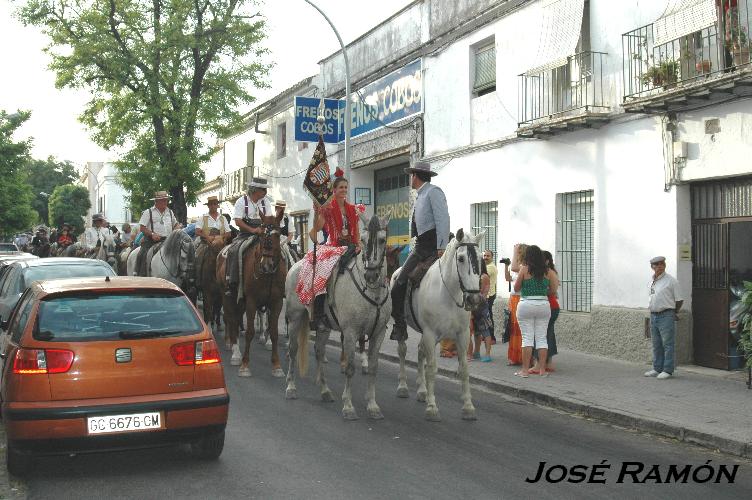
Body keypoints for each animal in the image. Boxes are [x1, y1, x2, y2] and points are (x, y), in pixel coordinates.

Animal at [219, 213, 290, 376]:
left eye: (277, 235)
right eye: (261, 235)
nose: (266, 264)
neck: (268, 275)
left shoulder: (276, 302)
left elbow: (274, 332)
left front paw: (277, 366)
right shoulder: (252, 301)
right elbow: (250, 332)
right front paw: (245, 365)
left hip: (240, 302)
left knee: (236, 318)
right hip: (228, 297)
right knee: (231, 320)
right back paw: (235, 353)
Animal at [284, 213, 394, 420]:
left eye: (382, 240)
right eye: (363, 240)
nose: (371, 275)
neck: (372, 292)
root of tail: (296, 265)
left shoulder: (379, 333)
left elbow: (373, 368)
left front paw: (373, 406)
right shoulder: (351, 332)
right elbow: (350, 368)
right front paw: (349, 407)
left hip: (324, 326)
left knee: (319, 351)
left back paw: (325, 392)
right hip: (295, 318)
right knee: (293, 350)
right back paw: (291, 387)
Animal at [390, 229, 484, 420]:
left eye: (480, 258)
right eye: (461, 258)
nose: (474, 299)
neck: (449, 292)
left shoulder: (462, 335)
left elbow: (464, 369)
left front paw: (468, 407)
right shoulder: (430, 333)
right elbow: (432, 368)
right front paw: (432, 407)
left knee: (420, 352)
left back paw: (422, 391)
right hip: (405, 326)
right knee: (402, 350)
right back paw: (403, 387)